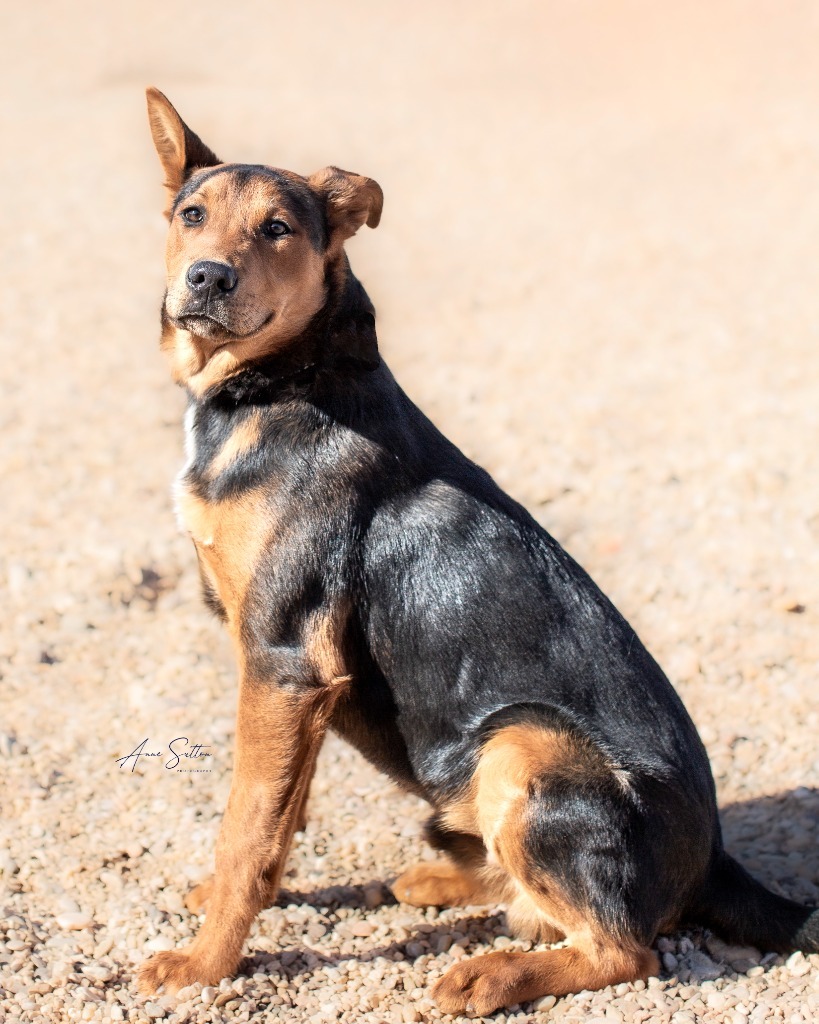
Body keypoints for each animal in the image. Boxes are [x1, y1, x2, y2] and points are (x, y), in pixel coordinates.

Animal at [137, 90, 814, 1015]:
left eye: (277, 228)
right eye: (191, 215)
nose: (206, 277)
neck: (283, 380)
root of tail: (712, 860)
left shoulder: (284, 655)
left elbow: (247, 827)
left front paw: (205, 963)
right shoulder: (292, 679)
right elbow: (277, 810)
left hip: (524, 746)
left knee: (624, 948)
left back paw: (492, 974)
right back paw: (442, 883)